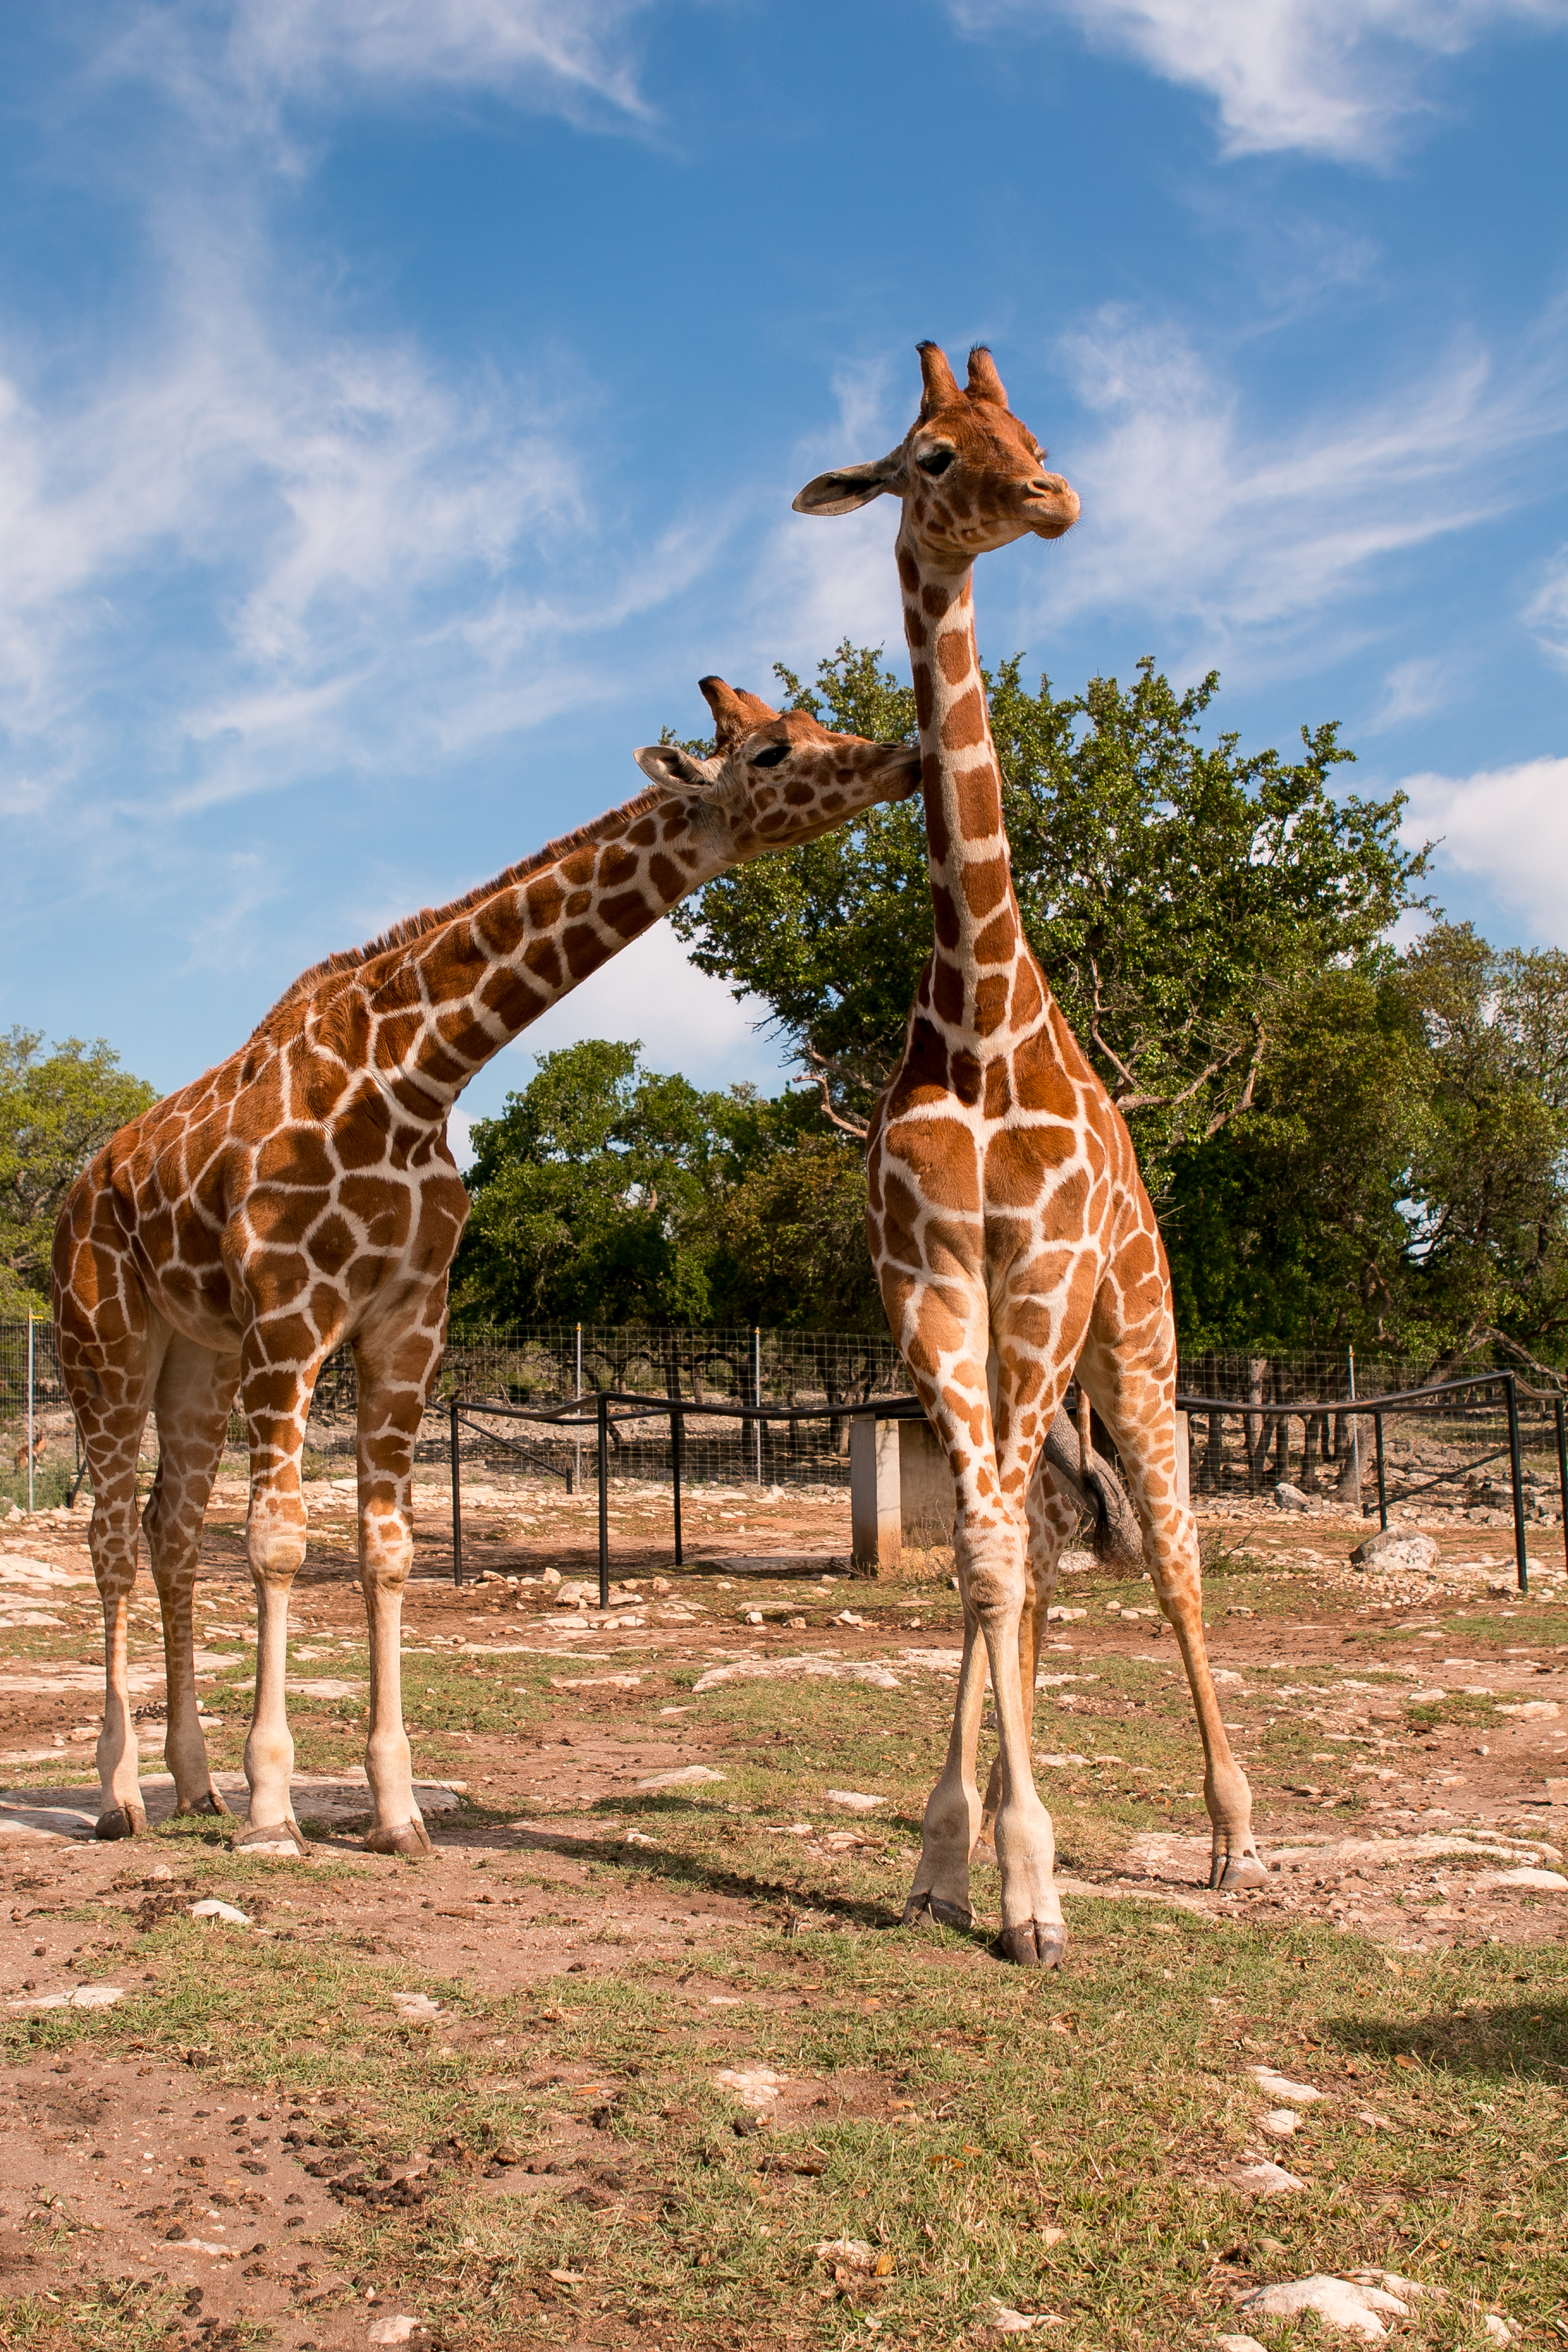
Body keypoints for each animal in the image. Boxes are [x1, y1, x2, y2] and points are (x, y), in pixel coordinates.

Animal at [52, 680, 919, 1857]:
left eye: (817, 722)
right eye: (776, 749)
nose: (908, 757)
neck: (415, 1079)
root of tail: (78, 1192)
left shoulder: (407, 1322)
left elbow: (387, 1549)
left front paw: (396, 1812)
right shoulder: (291, 1317)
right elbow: (279, 1543)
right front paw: (277, 1812)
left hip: (199, 1356)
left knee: (170, 1530)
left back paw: (194, 1789)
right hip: (105, 1337)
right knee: (109, 1534)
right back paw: (122, 1797)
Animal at [794, 343, 1265, 1964]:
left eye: (1029, 427)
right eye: (932, 454)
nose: (1053, 496)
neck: (982, 1018)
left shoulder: (1048, 1275)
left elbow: (1025, 1553)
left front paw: (1033, 1885)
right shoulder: (931, 1288)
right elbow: (984, 1559)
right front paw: (966, 1858)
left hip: (1133, 1325)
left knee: (1175, 1546)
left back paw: (1235, 1839)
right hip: (1030, 1347)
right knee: (1042, 1549)